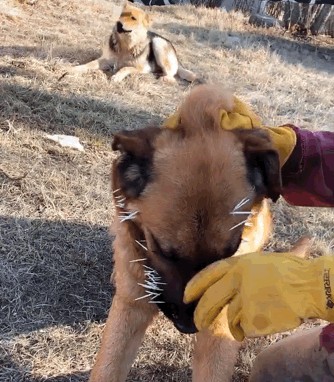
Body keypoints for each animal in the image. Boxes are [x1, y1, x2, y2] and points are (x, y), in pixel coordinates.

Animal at [61, 2, 198, 83]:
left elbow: (126, 68)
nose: (118, 24)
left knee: (172, 76)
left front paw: (117, 76)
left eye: (133, 18)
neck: (125, 46)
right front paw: (73, 69)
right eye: (122, 15)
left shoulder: (143, 68)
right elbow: (89, 64)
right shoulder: (105, 60)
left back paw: (163, 77)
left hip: (158, 43)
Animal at [87, 84, 284, 382]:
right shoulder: (131, 305)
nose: (189, 327)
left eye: (230, 252)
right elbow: (108, 367)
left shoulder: (219, 322)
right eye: (162, 251)